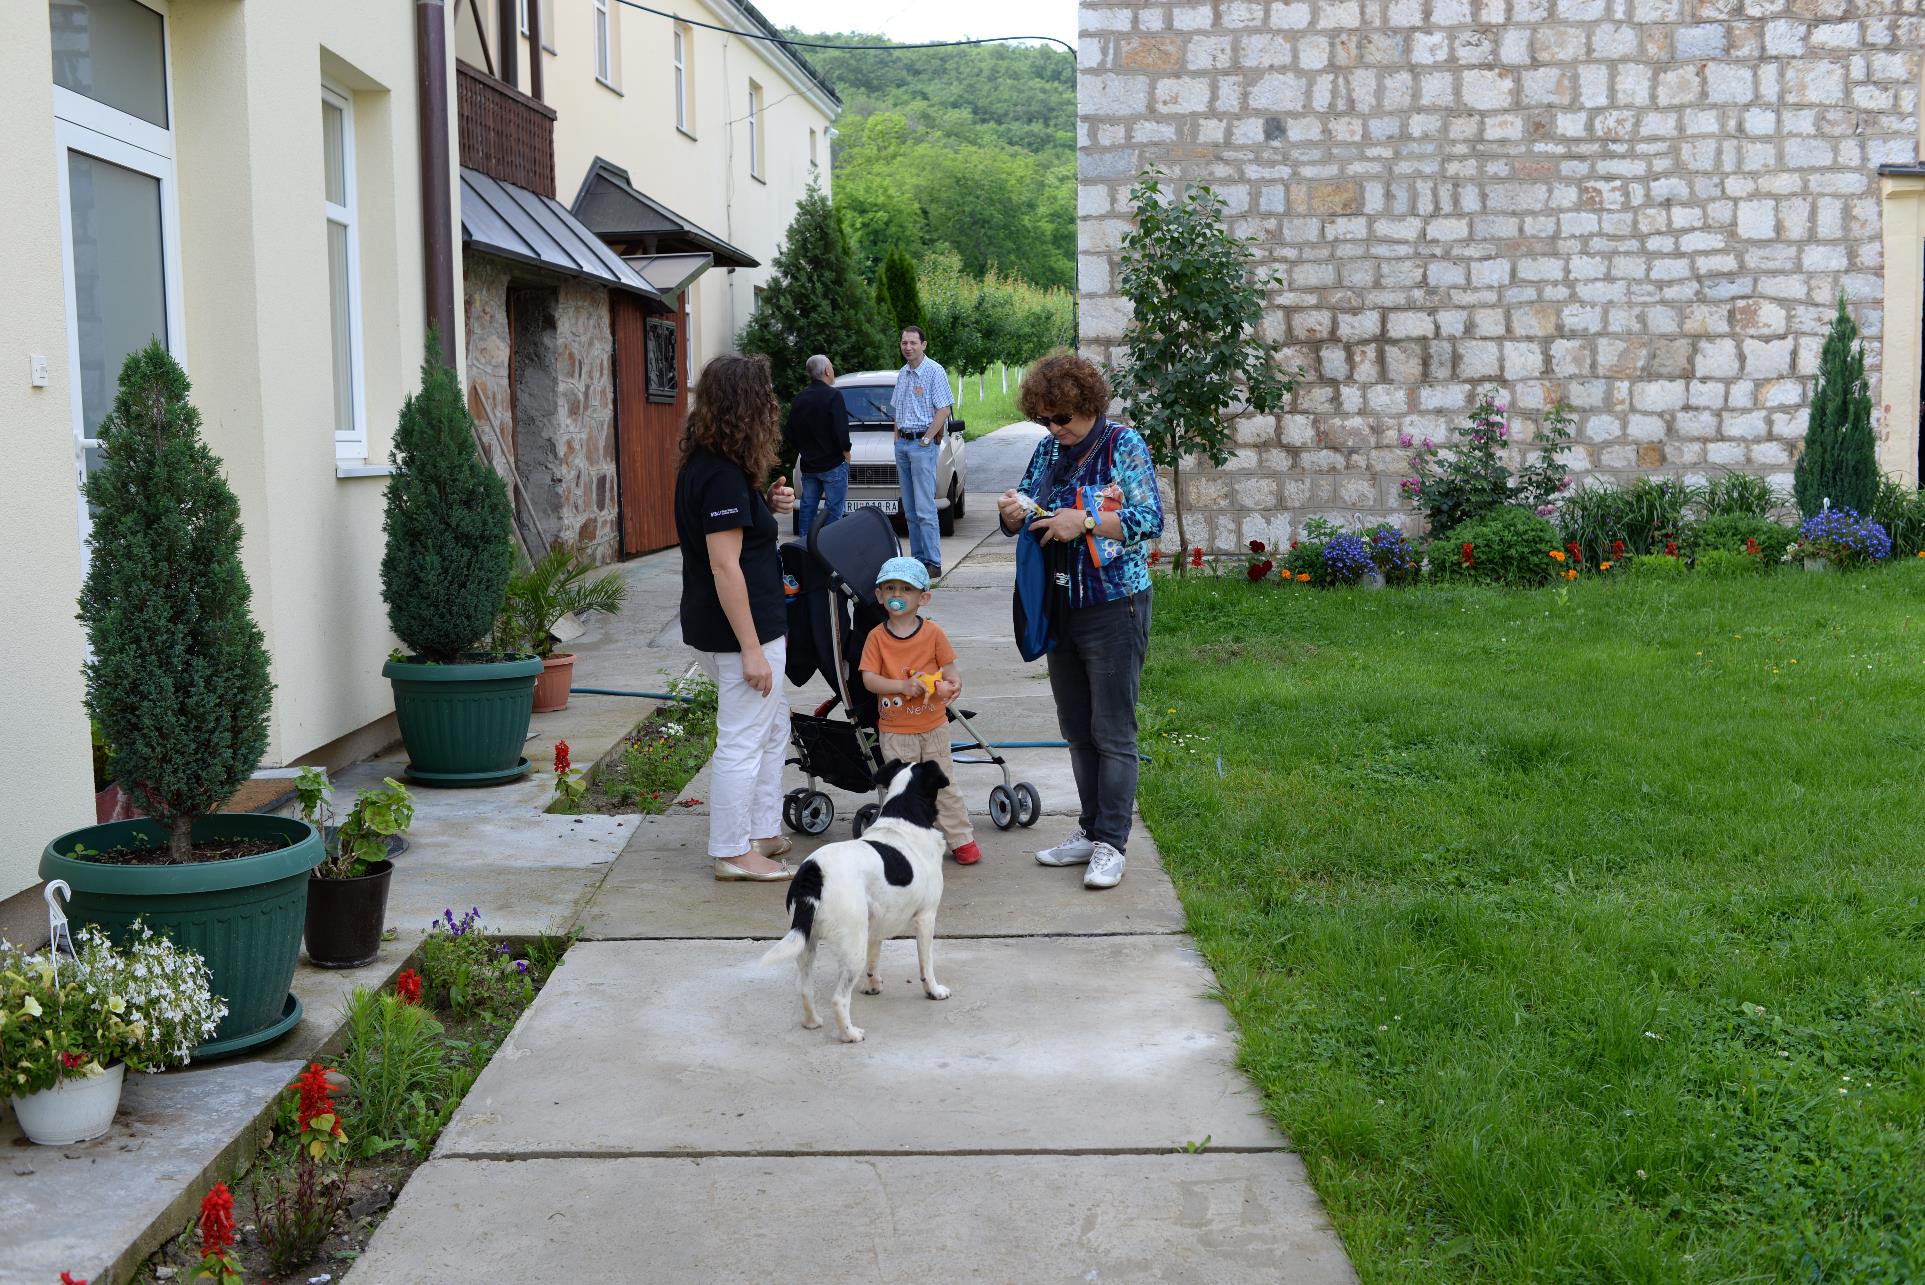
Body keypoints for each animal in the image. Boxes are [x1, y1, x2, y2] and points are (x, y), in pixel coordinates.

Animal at [758, 757, 954, 1038]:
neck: (905, 818)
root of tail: (814, 871)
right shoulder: (927, 917)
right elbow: (926, 964)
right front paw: (934, 991)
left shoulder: (875, 925)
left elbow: (875, 958)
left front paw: (873, 986)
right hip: (851, 947)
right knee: (839, 999)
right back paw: (850, 1034)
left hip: (807, 940)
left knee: (804, 987)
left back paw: (812, 1022)